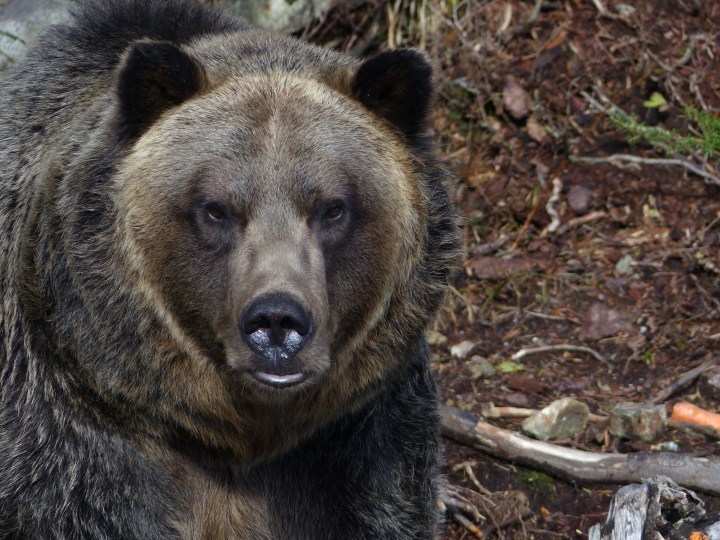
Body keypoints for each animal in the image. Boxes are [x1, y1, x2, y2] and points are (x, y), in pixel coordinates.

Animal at [0, 0, 459, 538]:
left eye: (332, 208)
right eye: (216, 208)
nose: (278, 321)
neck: (239, 440)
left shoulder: (360, 449)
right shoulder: (71, 444)